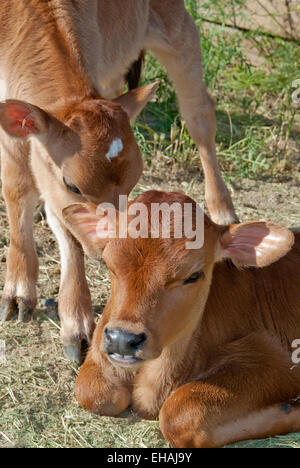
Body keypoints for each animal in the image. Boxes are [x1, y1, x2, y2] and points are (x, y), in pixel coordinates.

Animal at [0, 0, 237, 362]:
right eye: (73, 184)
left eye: (134, 183)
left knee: (199, 116)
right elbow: (18, 187)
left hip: (176, 26)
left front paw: (74, 322)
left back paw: (222, 206)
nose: (107, 242)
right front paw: (18, 290)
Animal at [63, 191, 300, 450]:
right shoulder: (100, 343)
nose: (122, 339)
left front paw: (290, 409)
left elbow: (180, 414)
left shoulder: (277, 357)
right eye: (108, 264)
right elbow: (95, 393)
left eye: (193, 275)